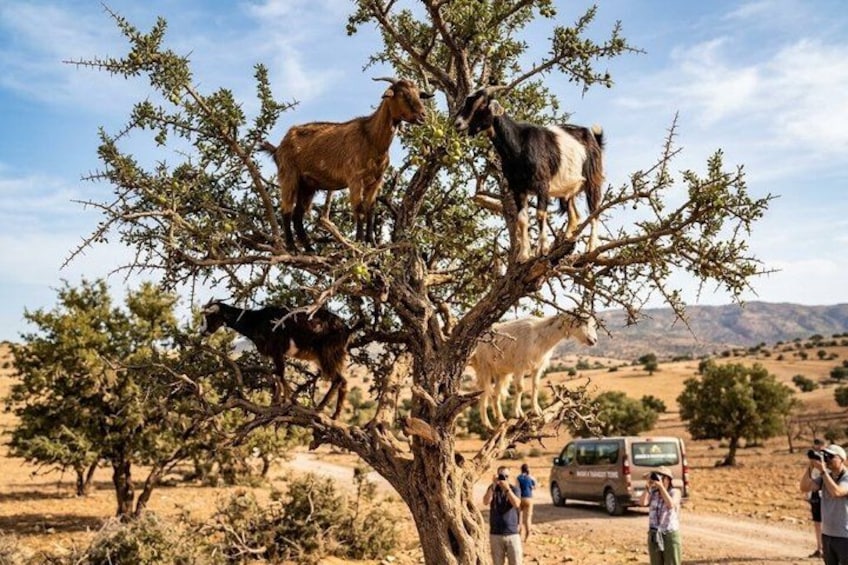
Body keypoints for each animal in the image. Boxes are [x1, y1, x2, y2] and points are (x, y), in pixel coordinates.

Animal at [199, 300, 359, 419]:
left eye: (209, 317)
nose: (202, 332)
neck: (255, 320)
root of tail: (347, 330)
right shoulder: (272, 354)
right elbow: (275, 375)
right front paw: (276, 401)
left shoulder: (277, 350)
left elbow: (280, 374)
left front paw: (286, 401)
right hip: (323, 356)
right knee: (343, 380)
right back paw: (335, 414)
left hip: (327, 353)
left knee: (338, 380)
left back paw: (320, 409)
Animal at [261, 78, 434, 252]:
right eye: (403, 95)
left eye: (419, 94)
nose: (423, 115)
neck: (372, 138)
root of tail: (278, 148)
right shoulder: (355, 178)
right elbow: (359, 209)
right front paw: (359, 242)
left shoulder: (376, 180)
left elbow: (370, 210)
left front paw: (371, 242)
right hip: (289, 175)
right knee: (286, 209)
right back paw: (292, 247)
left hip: (308, 185)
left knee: (298, 215)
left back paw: (309, 250)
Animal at [454, 86, 605, 262]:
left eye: (482, 105)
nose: (458, 123)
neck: (518, 145)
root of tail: (592, 137)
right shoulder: (518, 187)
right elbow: (522, 219)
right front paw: (524, 255)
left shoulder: (543, 184)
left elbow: (540, 214)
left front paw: (542, 249)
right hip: (568, 188)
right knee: (575, 215)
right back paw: (565, 241)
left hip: (593, 179)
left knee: (594, 211)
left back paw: (591, 247)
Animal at [468, 311, 598, 429]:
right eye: (583, 322)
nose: (594, 340)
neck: (540, 335)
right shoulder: (519, 365)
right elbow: (520, 388)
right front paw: (518, 413)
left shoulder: (538, 367)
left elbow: (535, 385)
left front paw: (536, 411)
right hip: (484, 367)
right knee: (484, 391)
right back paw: (487, 423)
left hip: (500, 372)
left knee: (496, 393)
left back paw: (500, 419)